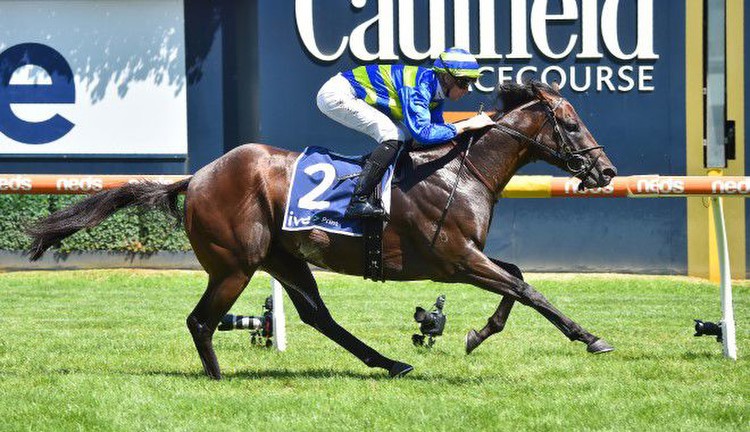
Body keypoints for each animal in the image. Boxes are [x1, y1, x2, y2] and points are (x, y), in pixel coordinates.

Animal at [27, 81, 616, 378]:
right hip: (236, 264)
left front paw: (476, 333)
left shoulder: (468, 256)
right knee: (201, 321)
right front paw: (591, 338)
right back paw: (218, 379)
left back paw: (390, 362)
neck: (458, 170)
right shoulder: (453, 258)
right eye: (570, 123)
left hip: (283, 259)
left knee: (318, 317)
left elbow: (517, 279)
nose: (606, 171)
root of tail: (197, 176)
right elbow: (526, 288)